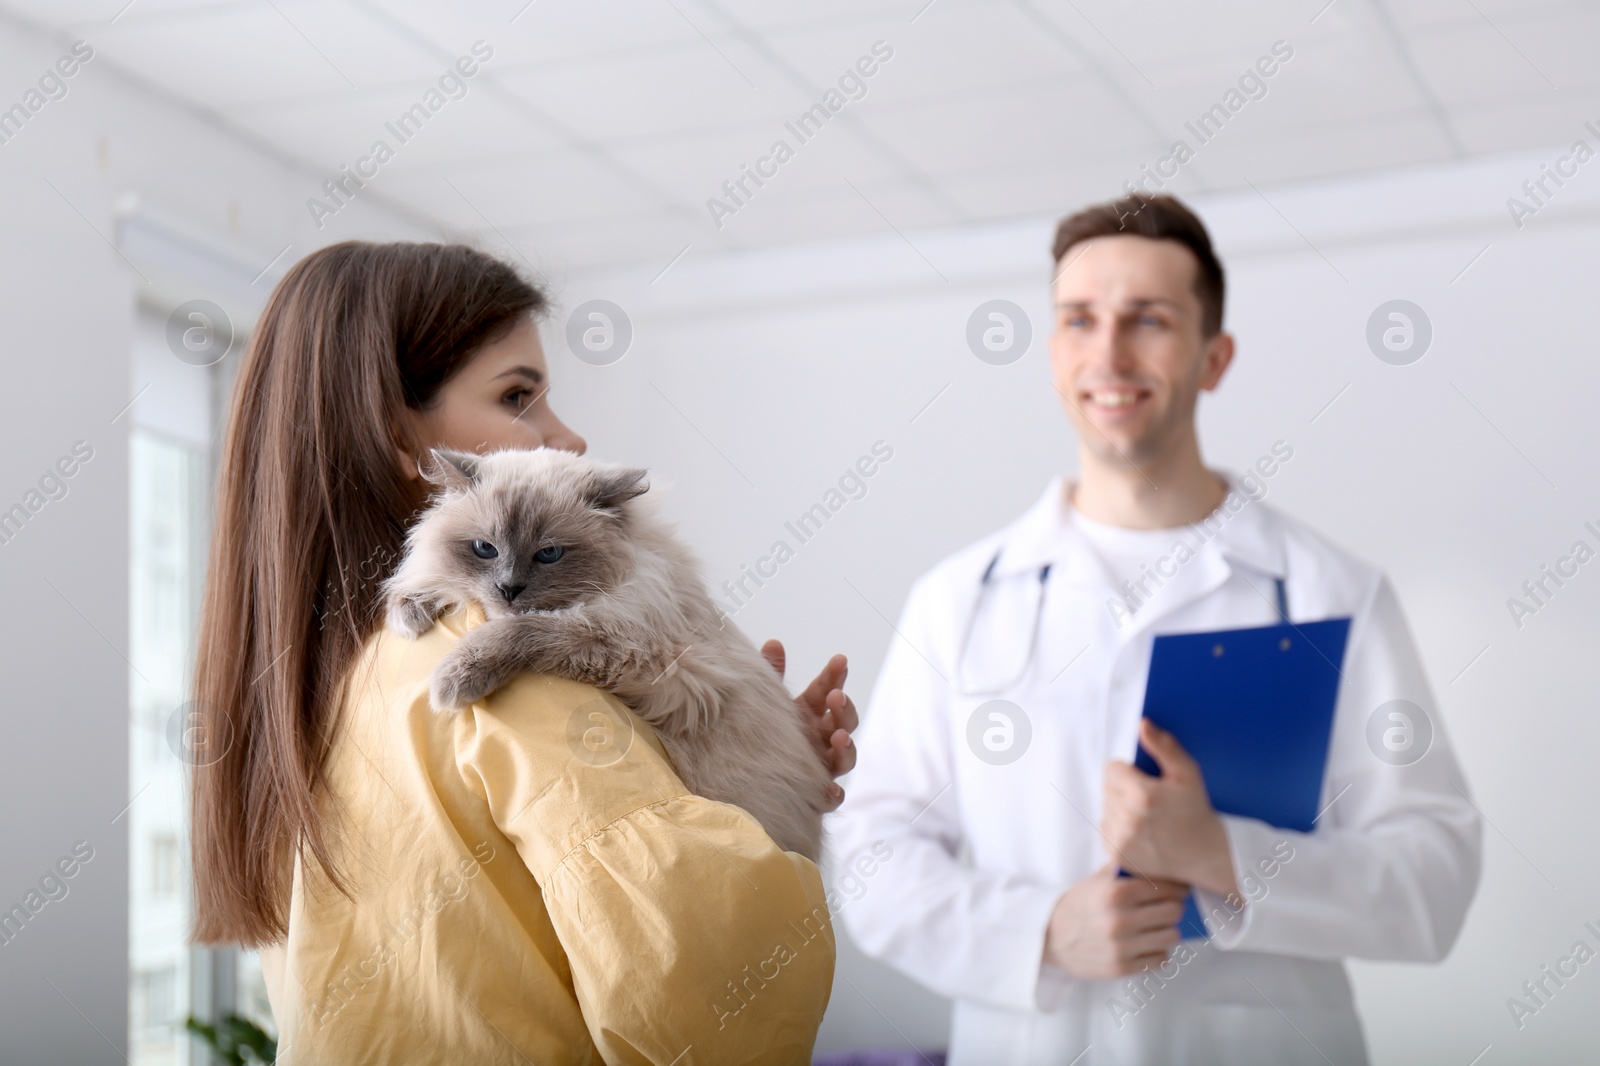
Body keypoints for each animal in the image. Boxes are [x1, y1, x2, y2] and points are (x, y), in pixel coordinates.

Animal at [382, 444, 832, 857]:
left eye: (549, 554)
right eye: (484, 549)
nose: (509, 589)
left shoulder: (645, 657)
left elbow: (522, 630)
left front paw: (453, 679)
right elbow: (430, 580)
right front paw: (410, 612)